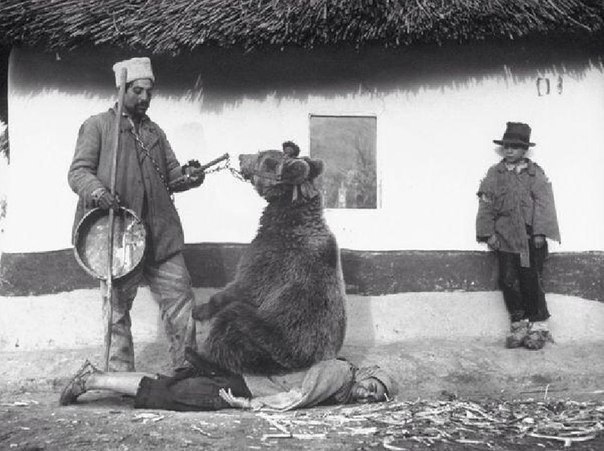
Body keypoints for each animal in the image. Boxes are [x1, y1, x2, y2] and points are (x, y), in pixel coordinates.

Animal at [191, 143, 346, 376]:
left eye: (262, 158)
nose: (241, 156)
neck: (290, 217)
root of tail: (307, 364)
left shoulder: (272, 260)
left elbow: (243, 286)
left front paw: (199, 310)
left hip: (270, 338)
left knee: (230, 324)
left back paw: (201, 359)